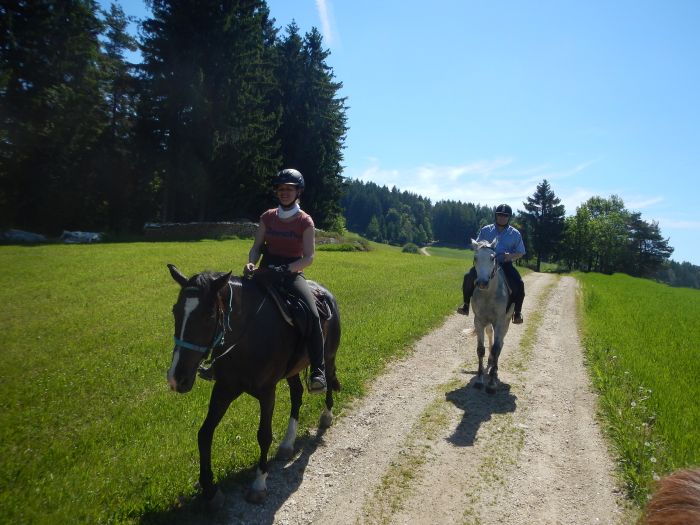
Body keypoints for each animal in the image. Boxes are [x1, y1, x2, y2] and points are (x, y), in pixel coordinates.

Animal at [164, 264, 340, 506]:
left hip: (328, 357)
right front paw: (210, 489)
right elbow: (204, 433)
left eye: (209, 316)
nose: (177, 378)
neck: (247, 335)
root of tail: (326, 293)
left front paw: (258, 484)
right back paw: (287, 444)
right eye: (175, 311)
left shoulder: (267, 392)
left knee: (328, 382)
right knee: (296, 394)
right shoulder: (225, 388)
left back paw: (326, 416)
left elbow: (263, 435)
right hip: (292, 371)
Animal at [470, 239, 516, 390]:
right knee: (490, 335)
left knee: (500, 343)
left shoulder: (500, 322)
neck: (488, 294)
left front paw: (491, 383)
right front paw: (479, 380)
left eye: (492, 258)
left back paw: (494, 370)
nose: (482, 283)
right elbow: (480, 349)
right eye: (475, 257)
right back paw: (490, 363)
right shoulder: (479, 321)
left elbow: (496, 348)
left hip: (506, 322)